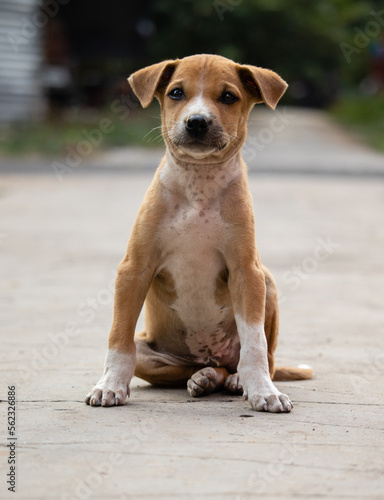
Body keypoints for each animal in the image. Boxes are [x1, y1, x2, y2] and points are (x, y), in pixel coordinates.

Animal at [85, 54, 314, 414]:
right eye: (176, 92)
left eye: (229, 97)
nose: (196, 122)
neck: (199, 183)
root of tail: (210, 355)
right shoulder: (134, 268)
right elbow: (119, 338)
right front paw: (109, 386)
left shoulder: (247, 272)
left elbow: (255, 343)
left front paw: (264, 391)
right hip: (152, 354)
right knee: (185, 368)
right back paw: (204, 378)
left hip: (268, 283)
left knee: (261, 358)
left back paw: (235, 379)